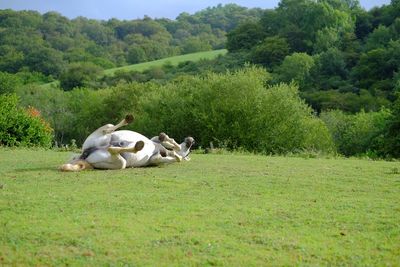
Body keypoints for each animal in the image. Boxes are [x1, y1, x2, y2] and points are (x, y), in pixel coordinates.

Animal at [59, 116, 195, 173]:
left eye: (188, 152)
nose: (191, 140)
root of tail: (84, 156)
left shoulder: (155, 158)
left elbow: (175, 157)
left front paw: (176, 155)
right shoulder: (154, 140)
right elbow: (167, 141)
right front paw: (169, 141)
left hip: (120, 163)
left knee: (113, 149)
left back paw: (137, 146)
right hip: (107, 130)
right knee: (109, 130)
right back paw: (129, 120)